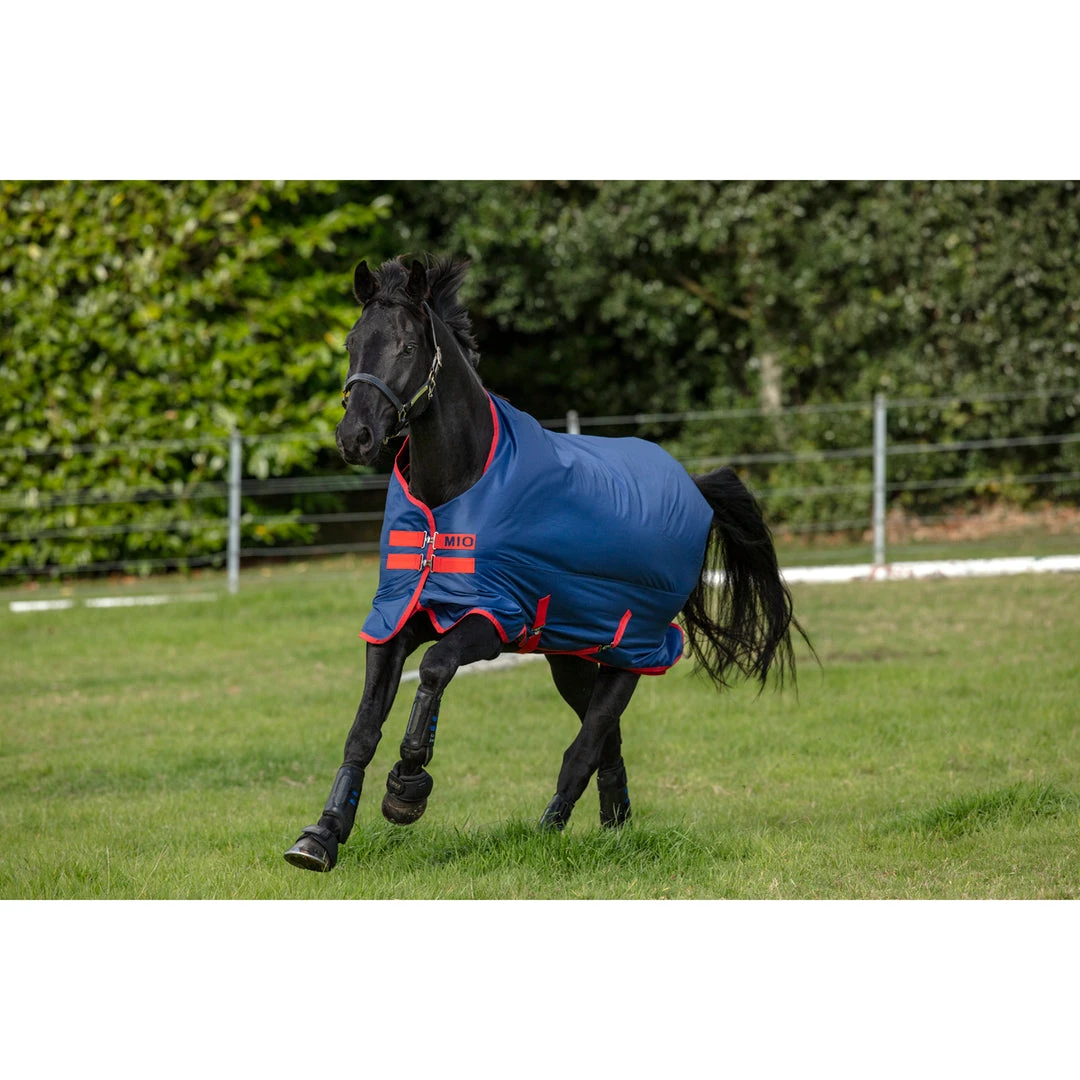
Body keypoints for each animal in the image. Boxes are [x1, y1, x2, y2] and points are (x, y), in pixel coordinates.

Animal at [284, 255, 807, 872]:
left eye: (408, 346)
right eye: (351, 343)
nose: (355, 437)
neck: (455, 493)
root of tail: (695, 489)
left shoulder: (493, 619)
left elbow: (435, 668)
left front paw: (406, 791)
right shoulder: (396, 617)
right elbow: (363, 728)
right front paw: (322, 835)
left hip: (634, 650)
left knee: (587, 743)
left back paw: (550, 828)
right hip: (571, 654)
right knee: (607, 739)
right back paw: (615, 825)